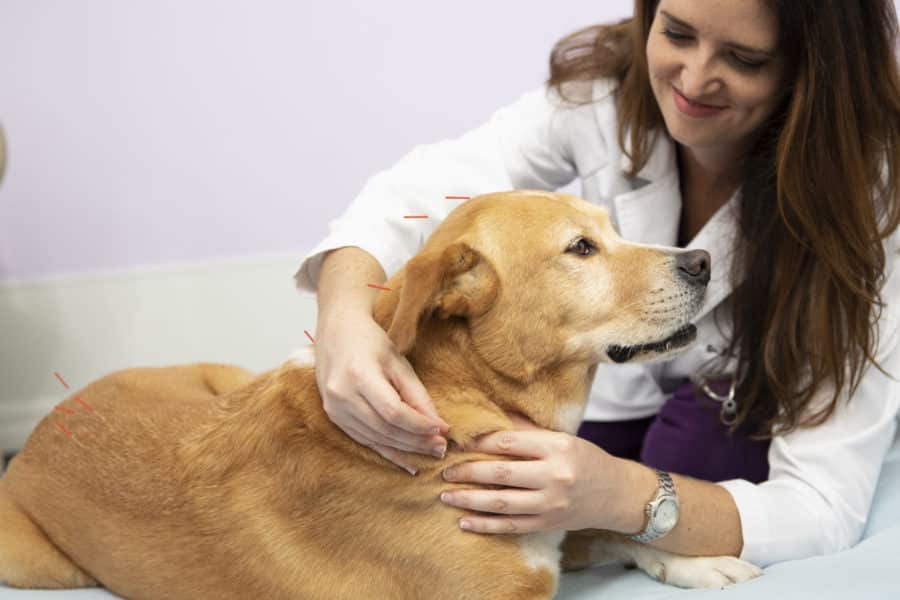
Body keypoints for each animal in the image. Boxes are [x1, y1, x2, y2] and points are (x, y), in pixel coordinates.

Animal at [0, 193, 760, 600]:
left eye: (611, 227)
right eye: (581, 248)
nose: (703, 261)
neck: (464, 398)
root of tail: (51, 419)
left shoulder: (546, 525)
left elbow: (606, 526)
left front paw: (696, 558)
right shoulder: (504, 588)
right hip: (35, 561)